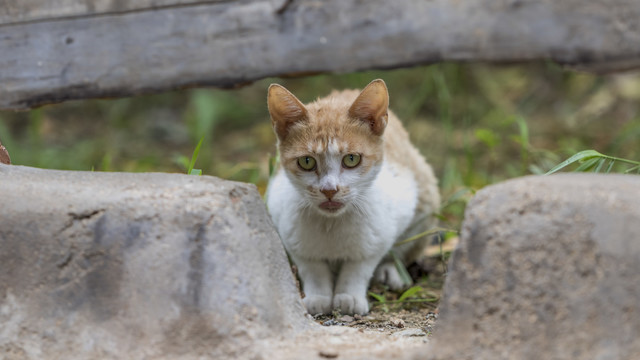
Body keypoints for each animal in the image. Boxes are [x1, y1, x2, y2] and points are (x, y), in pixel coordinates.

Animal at [264, 79, 440, 316]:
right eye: (307, 162)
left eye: (351, 159)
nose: (329, 190)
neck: (332, 225)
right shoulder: (286, 226)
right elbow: (312, 267)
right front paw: (318, 296)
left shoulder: (385, 227)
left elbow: (360, 265)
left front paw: (349, 295)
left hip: (425, 199)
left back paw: (389, 272)